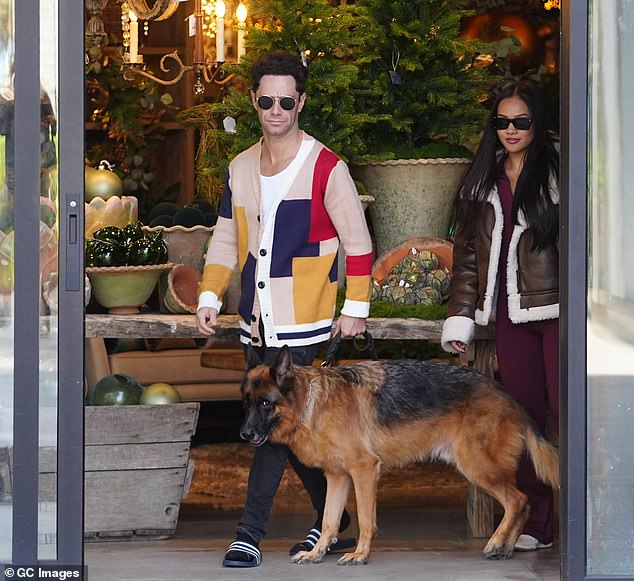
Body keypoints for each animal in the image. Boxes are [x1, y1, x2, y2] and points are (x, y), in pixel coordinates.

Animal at [239, 346, 556, 564]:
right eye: (246, 402)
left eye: (265, 403)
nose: (244, 434)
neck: (311, 403)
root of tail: (507, 394)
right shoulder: (337, 477)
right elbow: (329, 520)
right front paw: (316, 553)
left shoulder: (364, 471)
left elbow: (366, 519)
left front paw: (361, 555)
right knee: (524, 504)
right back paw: (506, 548)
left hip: (477, 467)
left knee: (518, 500)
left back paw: (496, 542)